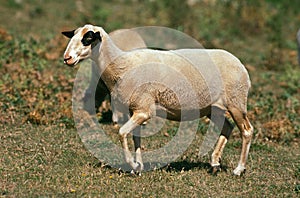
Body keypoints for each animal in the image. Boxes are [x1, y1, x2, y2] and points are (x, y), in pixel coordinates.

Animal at [61, 24, 253, 176]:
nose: (67, 58)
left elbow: (122, 132)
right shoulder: (136, 108)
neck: (121, 65)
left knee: (247, 131)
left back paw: (238, 169)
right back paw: (214, 163)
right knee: (227, 127)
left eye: (88, 38)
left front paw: (132, 164)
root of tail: (241, 65)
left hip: (236, 101)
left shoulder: (144, 110)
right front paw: (138, 167)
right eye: (73, 36)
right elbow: (136, 137)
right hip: (214, 107)